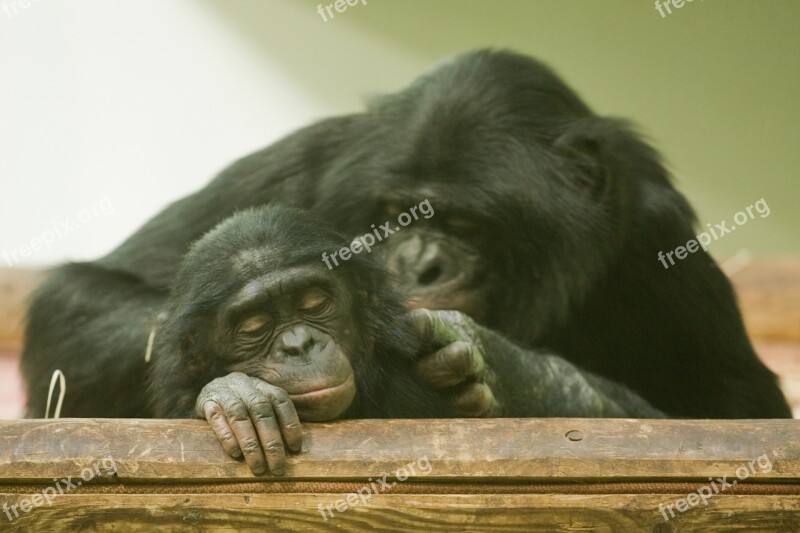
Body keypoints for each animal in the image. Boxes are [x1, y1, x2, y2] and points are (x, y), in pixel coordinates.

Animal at [21, 51, 792, 424]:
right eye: (397, 214)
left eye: (462, 223)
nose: (417, 265)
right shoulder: (313, 162)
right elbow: (86, 292)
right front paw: (234, 378)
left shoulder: (657, 237)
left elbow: (738, 411)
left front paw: (512, 372)